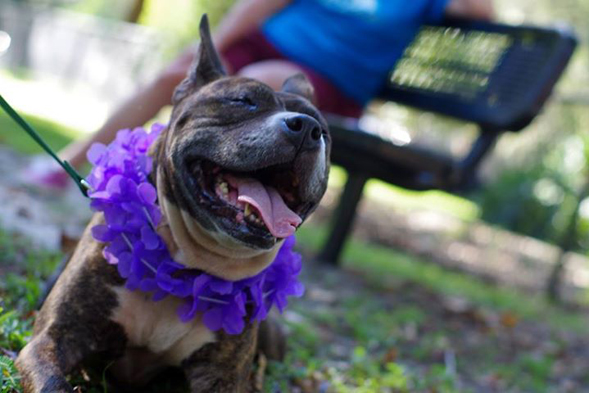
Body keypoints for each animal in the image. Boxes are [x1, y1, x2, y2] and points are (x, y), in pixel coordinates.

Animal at [14, 13, 330, 390]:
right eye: (242, 100)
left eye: (325, 131)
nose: (307, 128)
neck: (188, 265)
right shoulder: (52, 339)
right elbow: (52, 381)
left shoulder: (222, 375)